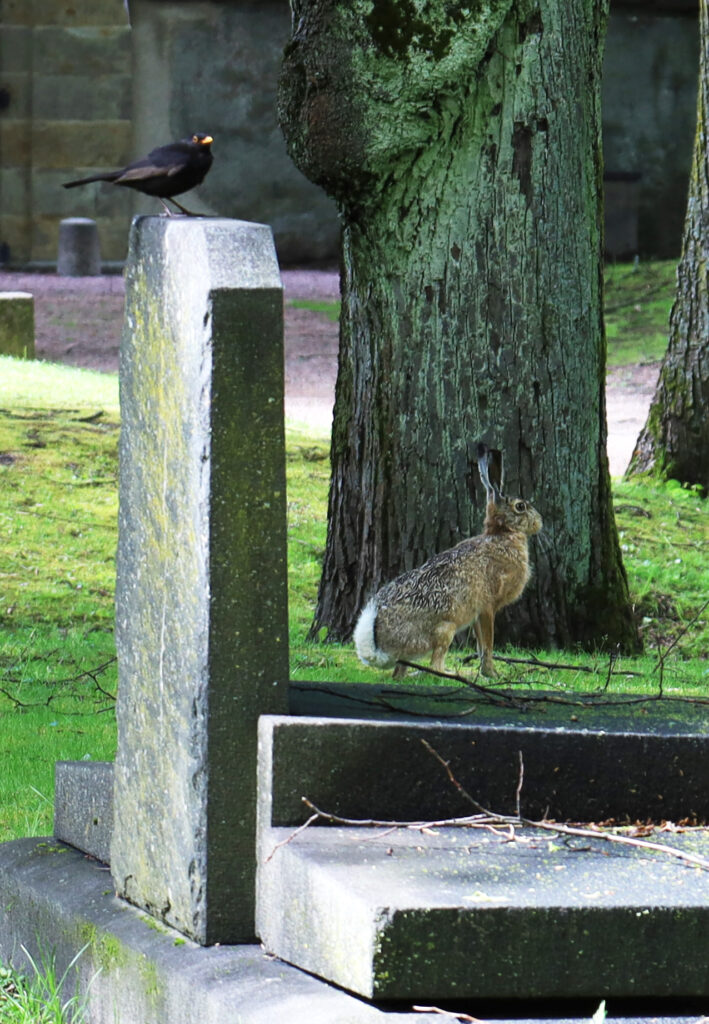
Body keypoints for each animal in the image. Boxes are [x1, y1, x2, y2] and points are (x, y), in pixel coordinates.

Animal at [353, 444, 542, 680]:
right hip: (445, 629)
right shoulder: (487, 606)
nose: (539, 523)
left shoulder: (477, 614)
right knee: (436, 667)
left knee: (400, 673)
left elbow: (480, 644)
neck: (502, 534)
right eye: (520, 506)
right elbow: (488, 643)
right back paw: (459, 675)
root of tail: (377, 646)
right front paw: (492, 674)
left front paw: (485, 672)